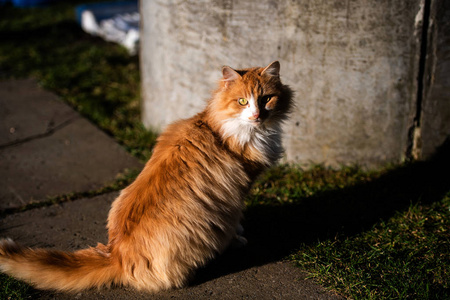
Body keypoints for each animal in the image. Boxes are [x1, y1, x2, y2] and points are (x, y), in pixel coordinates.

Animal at [0, 60, 292, 290]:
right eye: (242, 101)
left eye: (266, 99)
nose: (257, 114)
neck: (219, 126)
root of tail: (116, 254)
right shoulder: (239, 191)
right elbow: (238, 219)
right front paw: (239, 237)